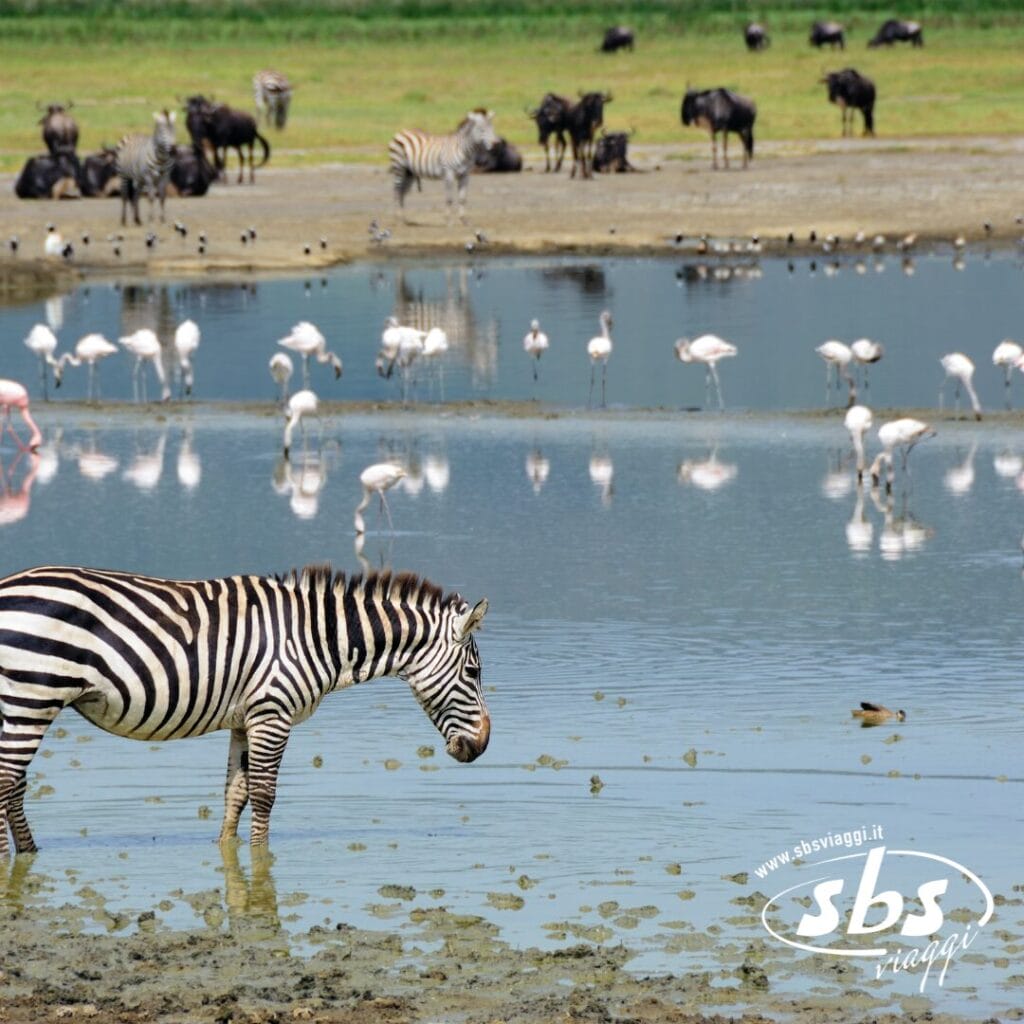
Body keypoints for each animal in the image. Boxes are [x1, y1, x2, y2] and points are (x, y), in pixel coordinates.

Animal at [0, 565, 490, 856]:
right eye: (473, 672)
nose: (483, 746)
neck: (318, 636)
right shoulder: (273, 712)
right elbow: (265, 793)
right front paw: (261, 858)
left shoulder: (244, 718)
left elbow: (235, 793)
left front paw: (226, 851)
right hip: (31, 697)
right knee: (8, 783)